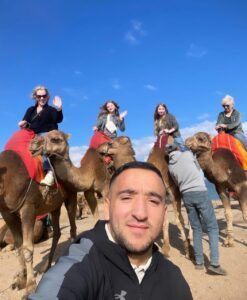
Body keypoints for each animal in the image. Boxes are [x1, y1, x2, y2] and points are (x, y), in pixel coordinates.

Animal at [0, 149, 76, 296]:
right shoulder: (7, 213)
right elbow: (18, 245)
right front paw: (20, 280)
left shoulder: (28, 208)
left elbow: (28, 247)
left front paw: (30, 286)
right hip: (54, 206)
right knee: (57, 232)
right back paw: (46, 266)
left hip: (71, 196)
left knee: (73, 228)